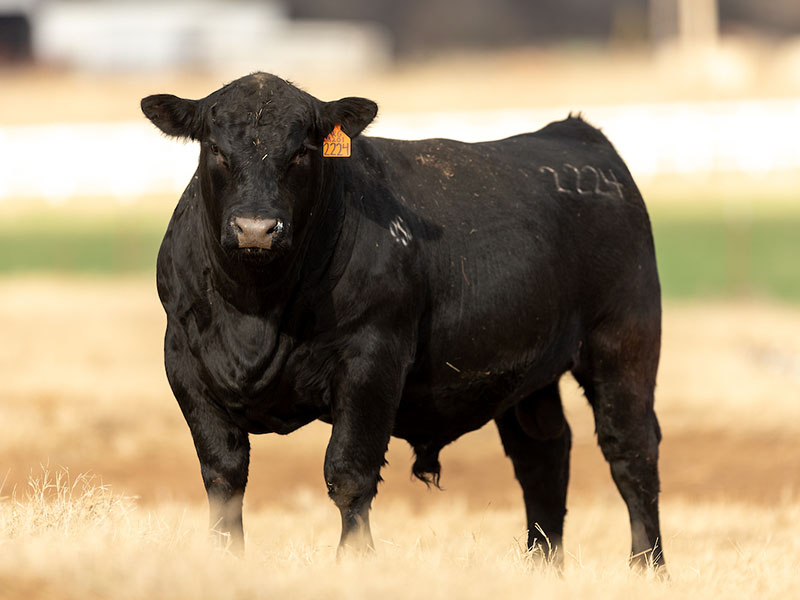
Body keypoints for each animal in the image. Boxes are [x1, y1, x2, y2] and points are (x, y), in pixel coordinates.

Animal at [141, 72, 665, 571]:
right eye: (214, 148)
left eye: (303, 151)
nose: (256, 228)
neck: (255, 312)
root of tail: (575, 133)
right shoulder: (184, 366)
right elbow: (224, 476)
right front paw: (225, 557)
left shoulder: (372, 361)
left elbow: (349, 473)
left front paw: (354, 561)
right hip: (531, 378)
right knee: (543, 456)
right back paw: (542, 567)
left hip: (624, 342)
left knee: (631, 451)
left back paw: (647, 567)